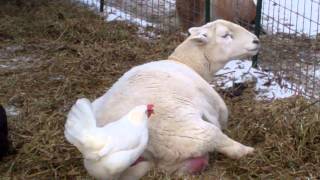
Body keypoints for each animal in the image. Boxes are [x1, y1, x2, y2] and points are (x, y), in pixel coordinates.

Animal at [80, 20, 260, 179]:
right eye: (225, 35)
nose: (256, 41)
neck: (188, 63)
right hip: (189, 132)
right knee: (216, 138)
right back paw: (247, 150)